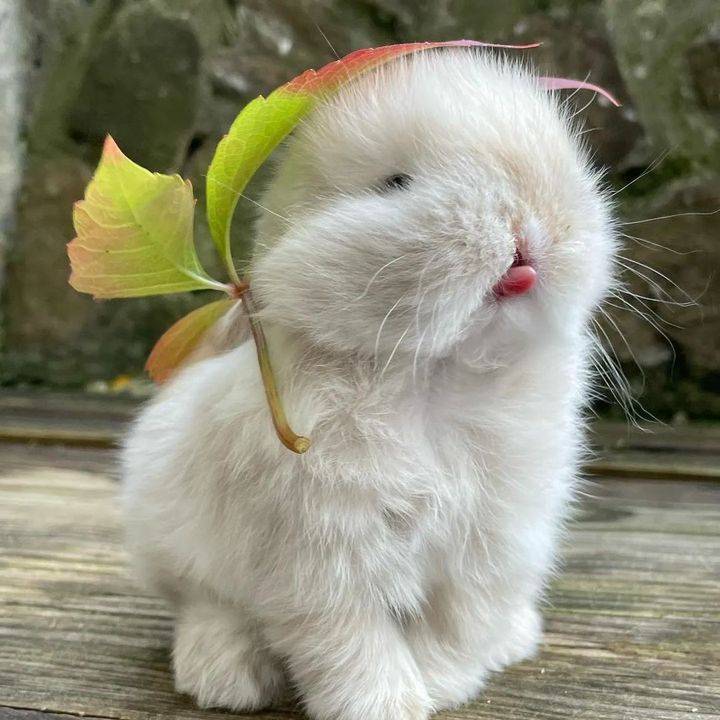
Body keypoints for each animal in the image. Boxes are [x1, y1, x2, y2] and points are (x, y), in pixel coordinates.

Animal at [122, 49, 617, 720]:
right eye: (396, 183)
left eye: (568, 165)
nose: (523, 220)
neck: (434, 374)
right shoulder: (319, 558)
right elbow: (352, 642)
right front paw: (387, 704)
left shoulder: (491, 544)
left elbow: (457, 624)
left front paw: (442, 684)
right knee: (204, 604)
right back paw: (225, 675)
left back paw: (515, 638)